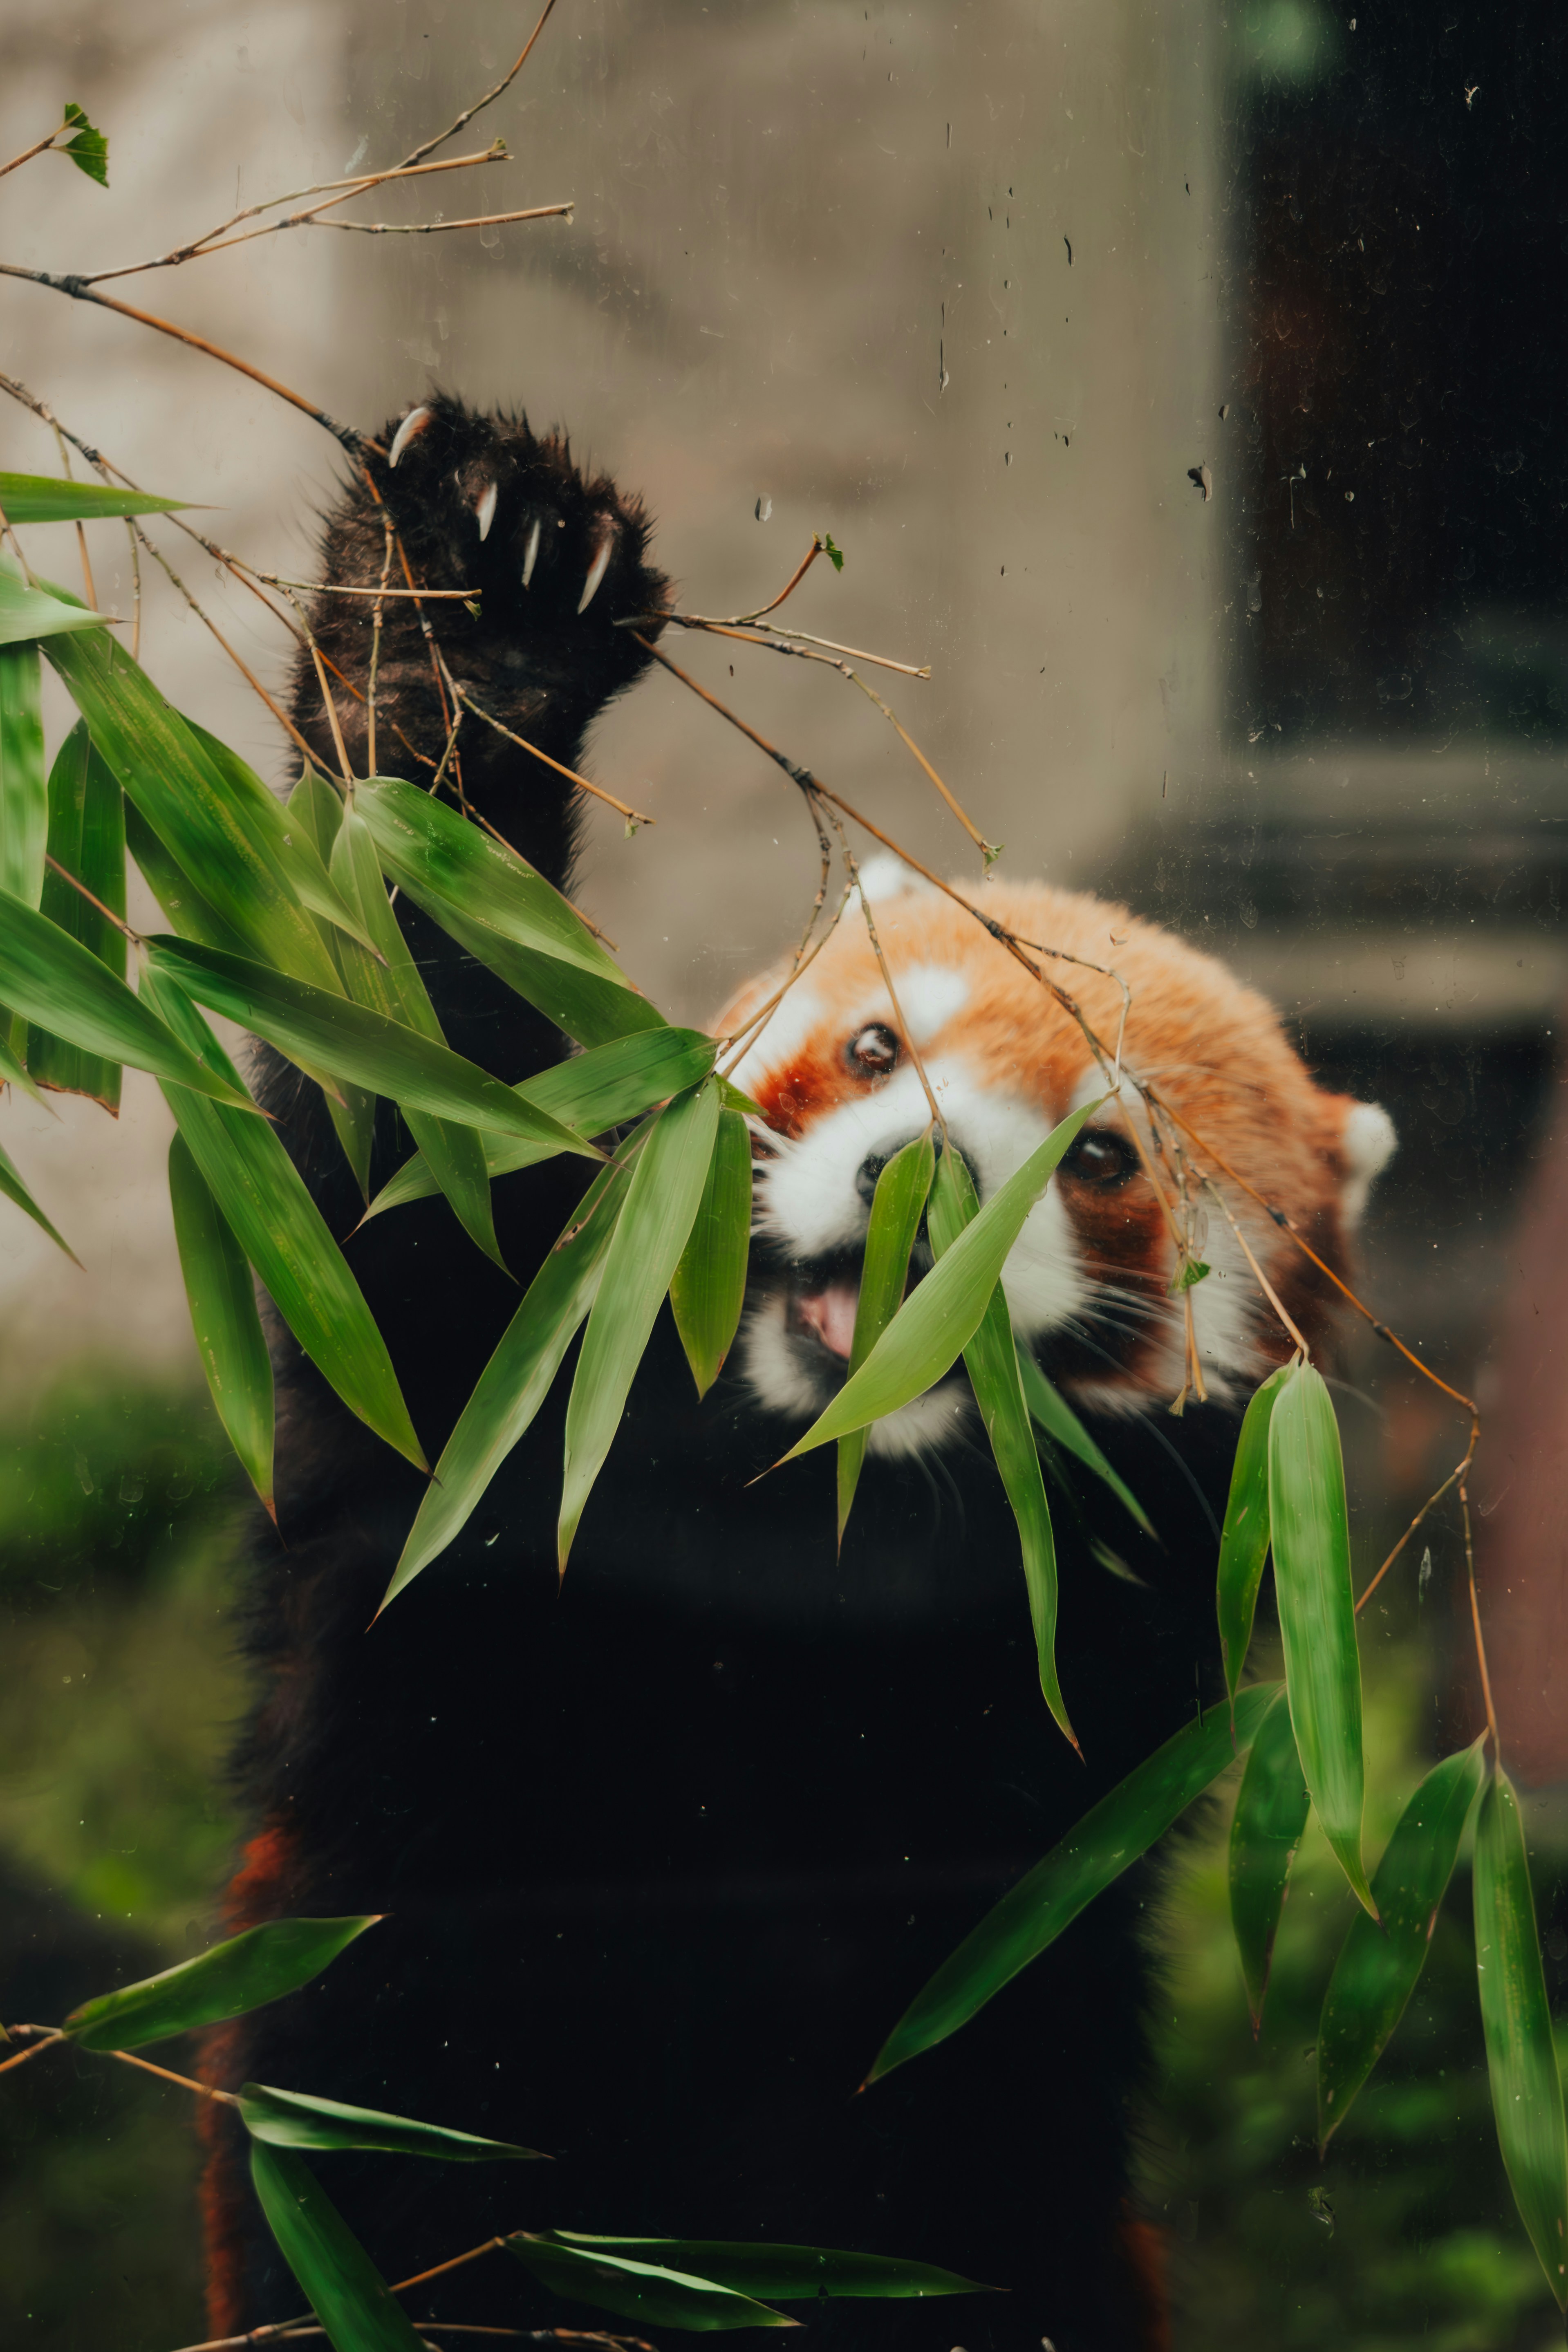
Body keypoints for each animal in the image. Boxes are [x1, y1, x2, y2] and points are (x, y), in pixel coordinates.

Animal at [197, 395, 1396, 2352]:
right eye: (874, 1049)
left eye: (1102, 1158)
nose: (926, 1183)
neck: (808, 1483)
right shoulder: (493, 1387)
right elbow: (408, 1021)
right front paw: (484, 594)